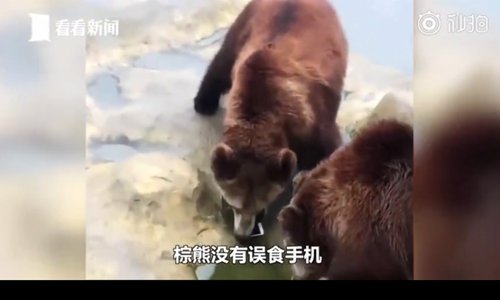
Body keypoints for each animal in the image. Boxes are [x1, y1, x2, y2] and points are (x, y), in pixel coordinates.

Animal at [193, 0, 350, 239]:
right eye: (235, 204)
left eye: (260, 203)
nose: (242, 235)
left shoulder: (312, 117)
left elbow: (327, 149)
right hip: (246, 21)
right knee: (223, 59)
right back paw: (203, 102)